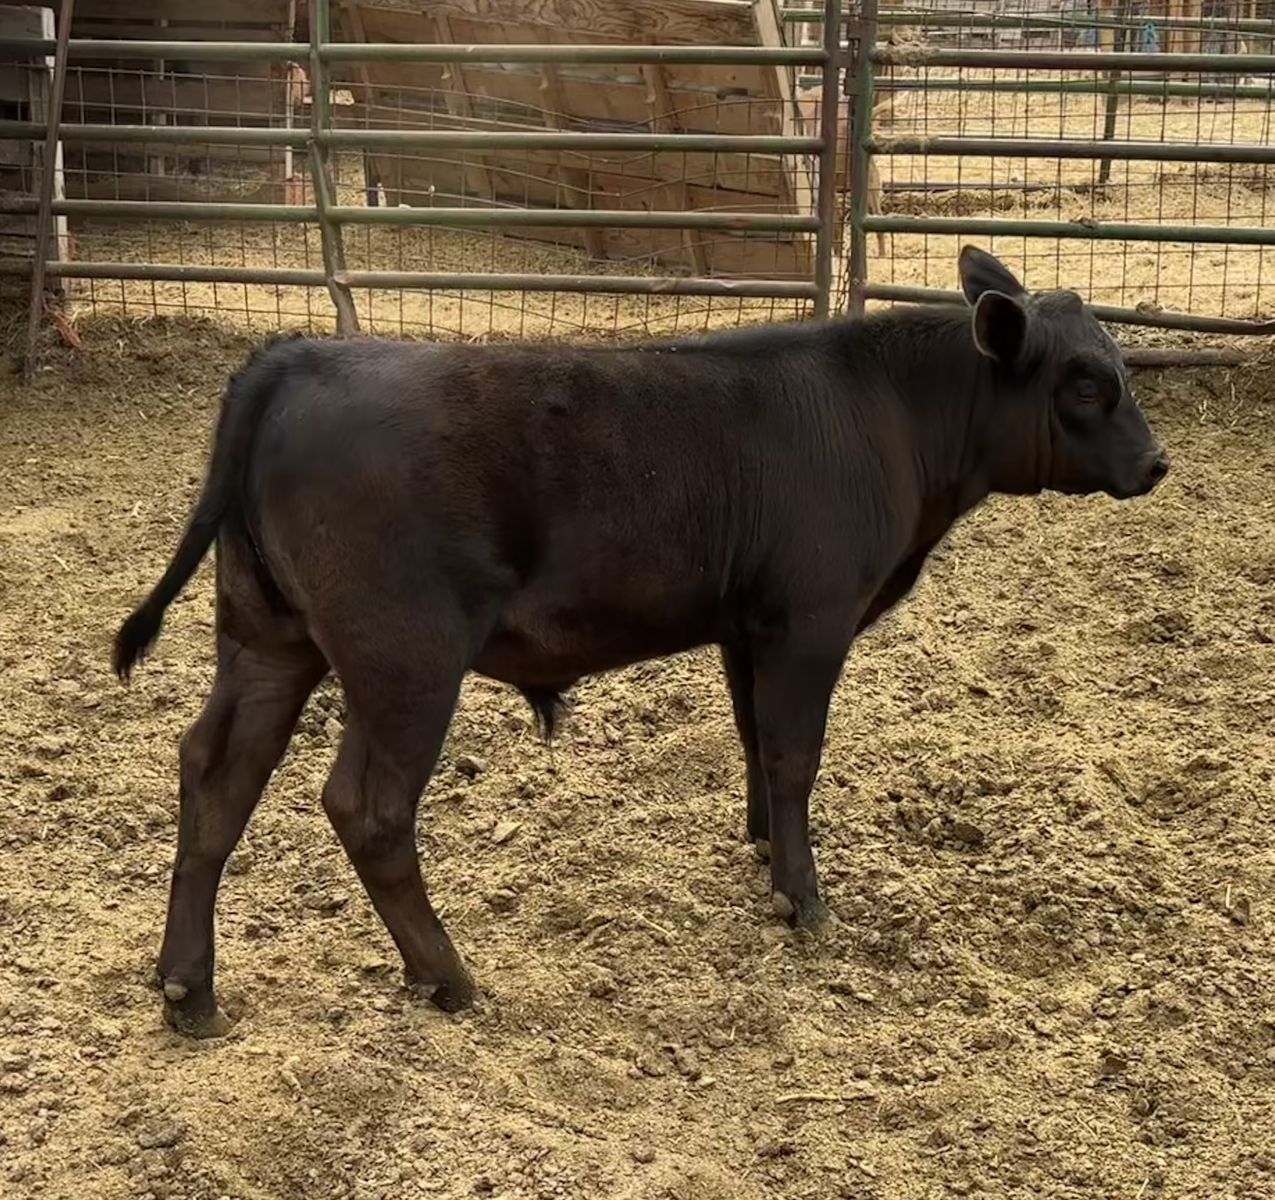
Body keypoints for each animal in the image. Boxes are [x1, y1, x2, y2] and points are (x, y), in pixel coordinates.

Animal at [113, 247, 1168, 1037]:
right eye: (1084, 381)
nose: (1157, 463)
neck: (888, 416)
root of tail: (295, 358)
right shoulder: (812, 619)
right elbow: (794, 753)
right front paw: (803, 899)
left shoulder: (749, 624)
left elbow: (754, 740)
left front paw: (762, 851)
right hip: (404, 659)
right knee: (366, 809)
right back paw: (447, 976)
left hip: (270, 639)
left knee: (216, 775)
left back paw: (187, 989)